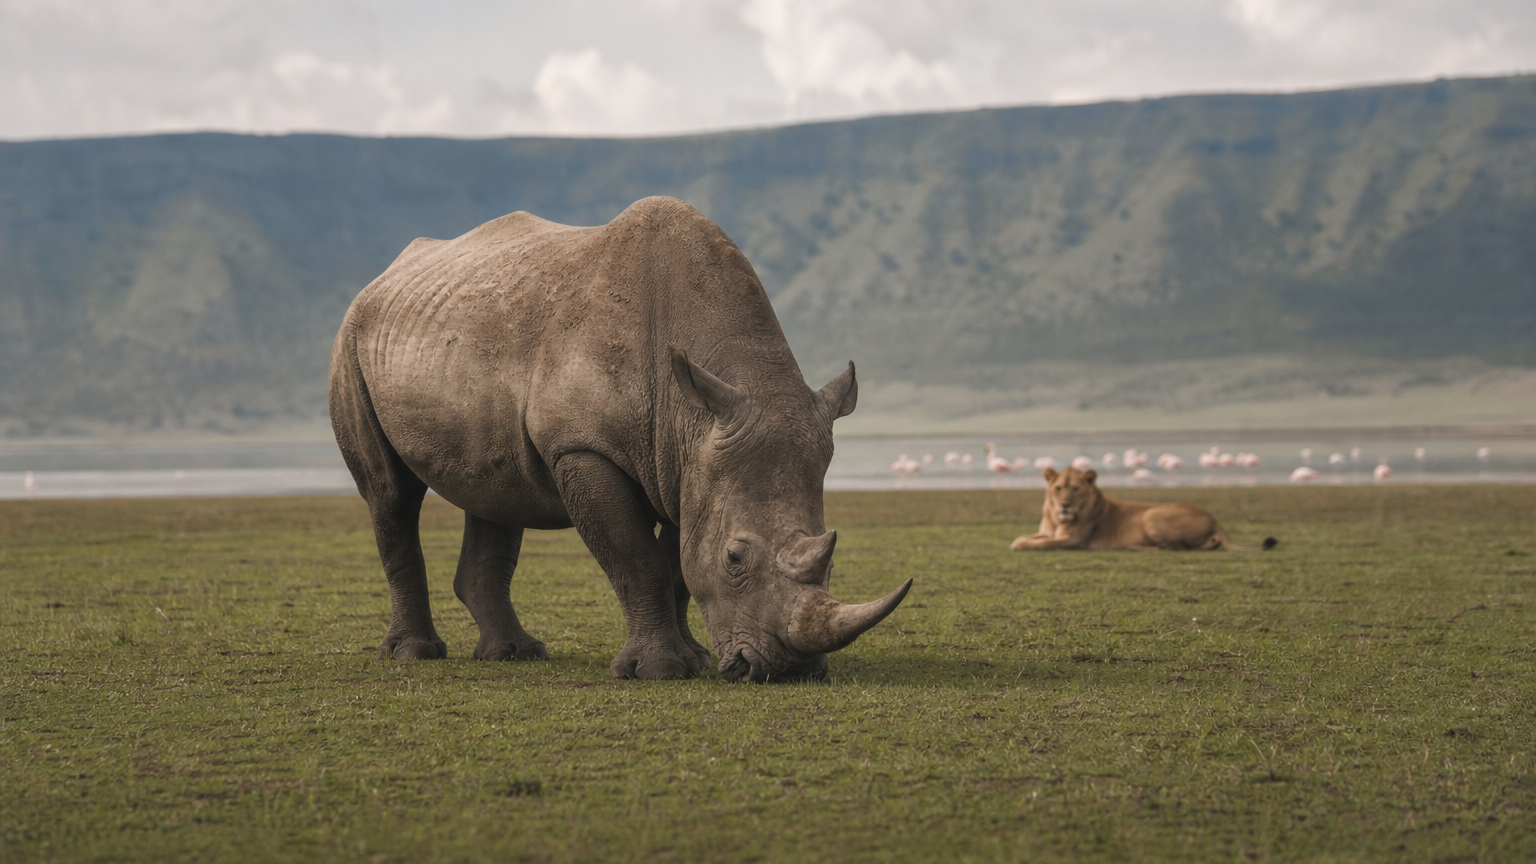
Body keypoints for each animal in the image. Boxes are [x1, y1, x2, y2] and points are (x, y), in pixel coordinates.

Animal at [329, 196, 911, 682]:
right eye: (734, 559)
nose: (786, 671)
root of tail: (384, 276)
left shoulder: (687, 459)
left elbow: (677, 564)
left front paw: (696, 660)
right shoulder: (584, 446)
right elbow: (636, 559)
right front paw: (660, 671)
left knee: (494, 492)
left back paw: (515, 654)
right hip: (351, 339)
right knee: (391, 495)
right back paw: (414, 654)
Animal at [1010, 467, 1277, 552]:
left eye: (1076, 489)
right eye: (1058, 489)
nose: (1065, 504)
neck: (1057, 519)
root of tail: (1213, 519)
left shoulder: (1074, 541)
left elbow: (1041, 544)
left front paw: (1021, 545)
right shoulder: (1049, 531)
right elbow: (1033, 537)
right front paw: (1020, 539)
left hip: (1151, 514)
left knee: (1172, 548)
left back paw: (1133, 547)